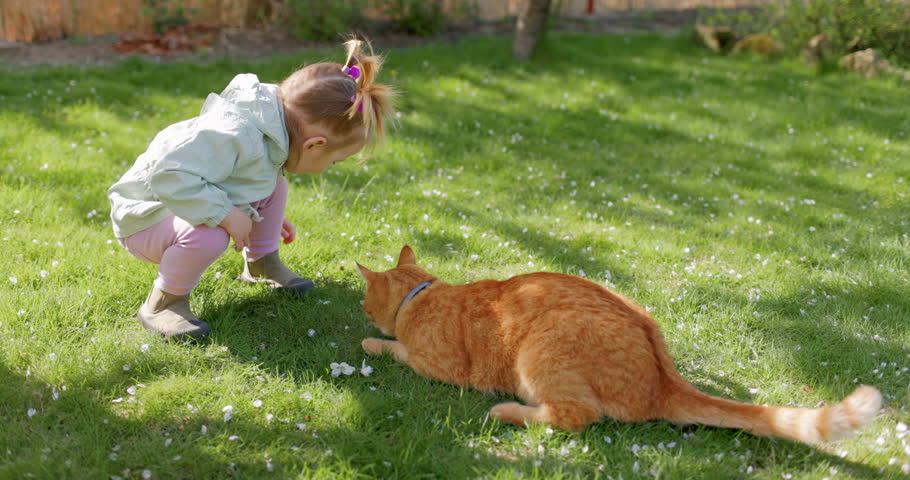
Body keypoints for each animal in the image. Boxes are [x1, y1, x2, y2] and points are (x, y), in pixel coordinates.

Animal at [360, 248, 888, 446]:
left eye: (365, 301)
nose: (364, 311)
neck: (423, 295)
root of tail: (666, 379)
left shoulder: (438, 366)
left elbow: (395, 348)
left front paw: (374, 340)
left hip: (543, 349)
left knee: (573, 417)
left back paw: (506, 411)